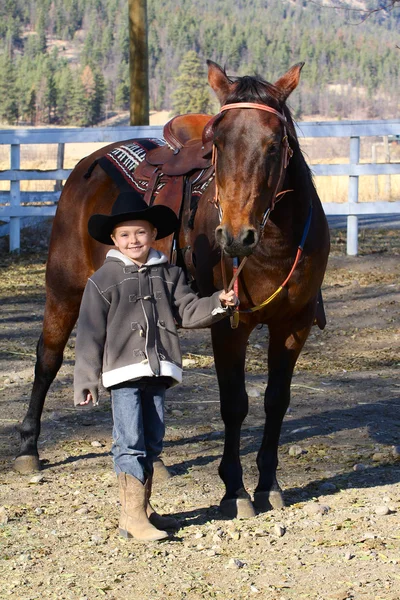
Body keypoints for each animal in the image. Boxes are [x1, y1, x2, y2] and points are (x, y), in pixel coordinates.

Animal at [14, 61, 330, 516]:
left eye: (275, 144)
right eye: (217, 144)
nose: (236, 237)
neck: (275, 245)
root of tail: (88, 162)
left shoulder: (294, 325)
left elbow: (276, 401)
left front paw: (268, 484)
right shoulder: (229, 328)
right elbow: (235, 403)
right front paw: (234, 490)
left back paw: (156, 461)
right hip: (64, 288)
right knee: (48, 358)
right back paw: (28, 448)